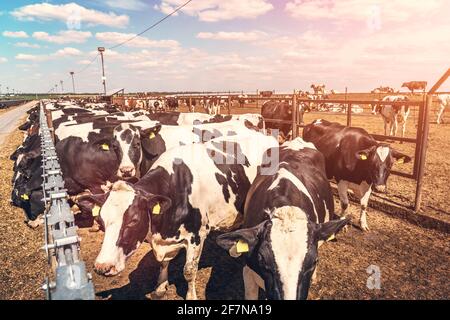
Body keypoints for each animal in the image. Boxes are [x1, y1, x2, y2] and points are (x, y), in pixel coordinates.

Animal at [77, 131, 278, 300]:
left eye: (133, 220)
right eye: (101, 221)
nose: (102, 267)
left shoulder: (197, 235)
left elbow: (189, 271)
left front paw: (191, 296)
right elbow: (163, 263)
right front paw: (160, 287)